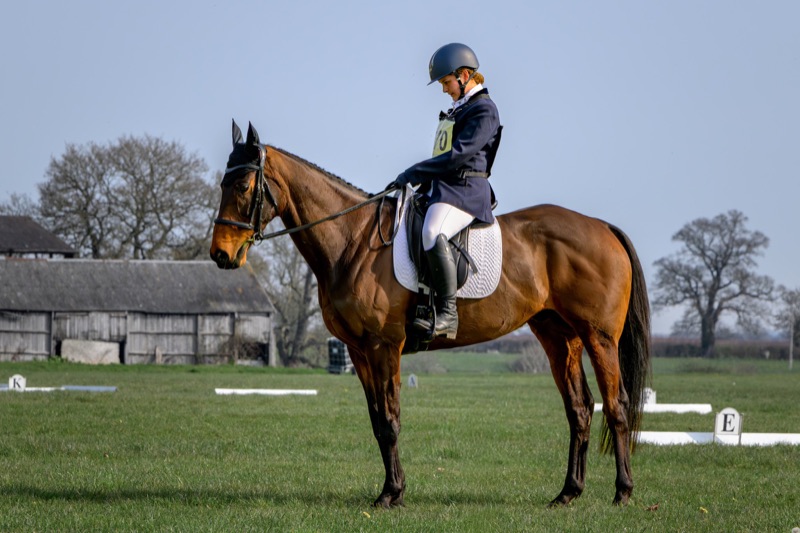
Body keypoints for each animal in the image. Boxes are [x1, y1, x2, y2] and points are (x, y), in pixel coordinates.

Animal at [210, 121, 651, 508]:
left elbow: (390, 420)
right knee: (580, 409)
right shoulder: (358, 351)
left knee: (616, 406)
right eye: (222, 185)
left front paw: (391, 495)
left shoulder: (384, 346)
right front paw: (391, 490)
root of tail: (601, 226)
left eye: (243, 186)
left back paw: (623, 492)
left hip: (599, 338)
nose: (220, 254)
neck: (353, 242)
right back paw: (567, 494)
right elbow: (377, 422)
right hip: (559, 336)